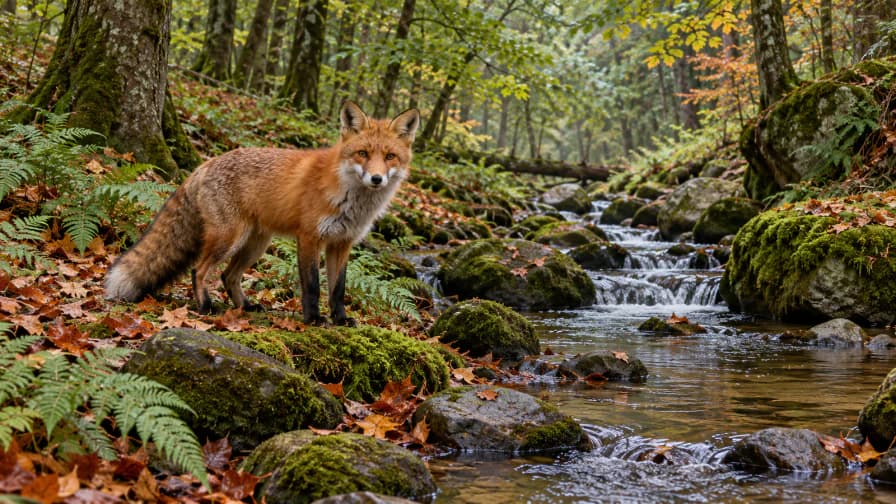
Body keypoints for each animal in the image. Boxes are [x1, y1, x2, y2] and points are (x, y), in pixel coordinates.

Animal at [105, 101, 420, 326]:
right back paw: (206, 306)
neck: (348, 196)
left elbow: (338, 289)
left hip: (256, 244)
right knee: (200, 270)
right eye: (363, 154)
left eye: (390, 156)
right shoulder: (309, 237)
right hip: (229, 239)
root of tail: (203, 165)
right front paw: (314, 319)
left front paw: (340, 320)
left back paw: (245, 306)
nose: (376, 179)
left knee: (228, 276)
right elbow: (312, 285)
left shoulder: (342, 243)